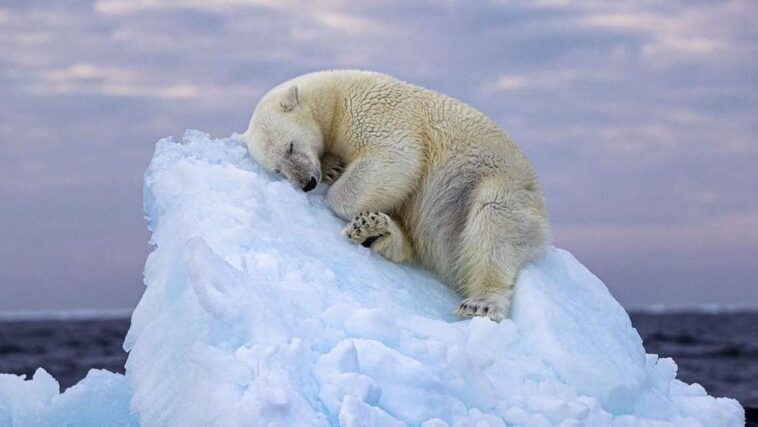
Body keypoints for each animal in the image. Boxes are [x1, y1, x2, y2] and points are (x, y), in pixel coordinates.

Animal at [241, 70, 550, 321]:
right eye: (277, 169)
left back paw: (481, 303)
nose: (307, 182)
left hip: (496, 184)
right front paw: (333, 168)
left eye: (290, 146)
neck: (334, 96)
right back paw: (374, 231)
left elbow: (395, 157)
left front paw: (337, 187)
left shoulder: (373, 110)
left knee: (493, 223)